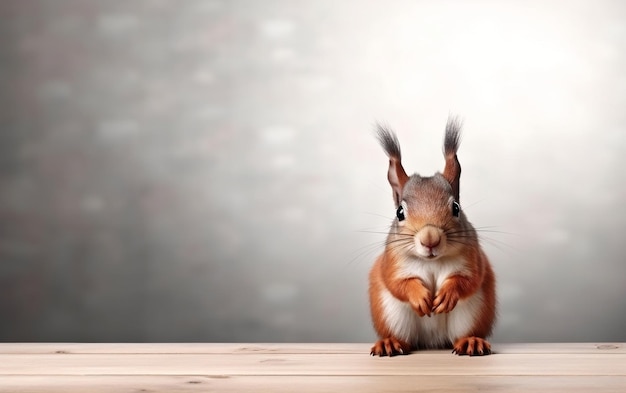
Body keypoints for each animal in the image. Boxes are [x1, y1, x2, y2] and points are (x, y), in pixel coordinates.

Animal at [368, 116, 494, 356]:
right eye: (400, 212)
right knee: (404, 339)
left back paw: (471, 342)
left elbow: (468, 280)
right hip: (392, 316)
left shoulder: (473, 260)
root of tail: (432, 342)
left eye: (456, 207)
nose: (430, 239)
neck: (432, 262)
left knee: (461, 334)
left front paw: (448, 293)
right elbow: (397, 283)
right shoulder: (392, 263)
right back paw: (390, 343)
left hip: (472, 314)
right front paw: (418, 295)